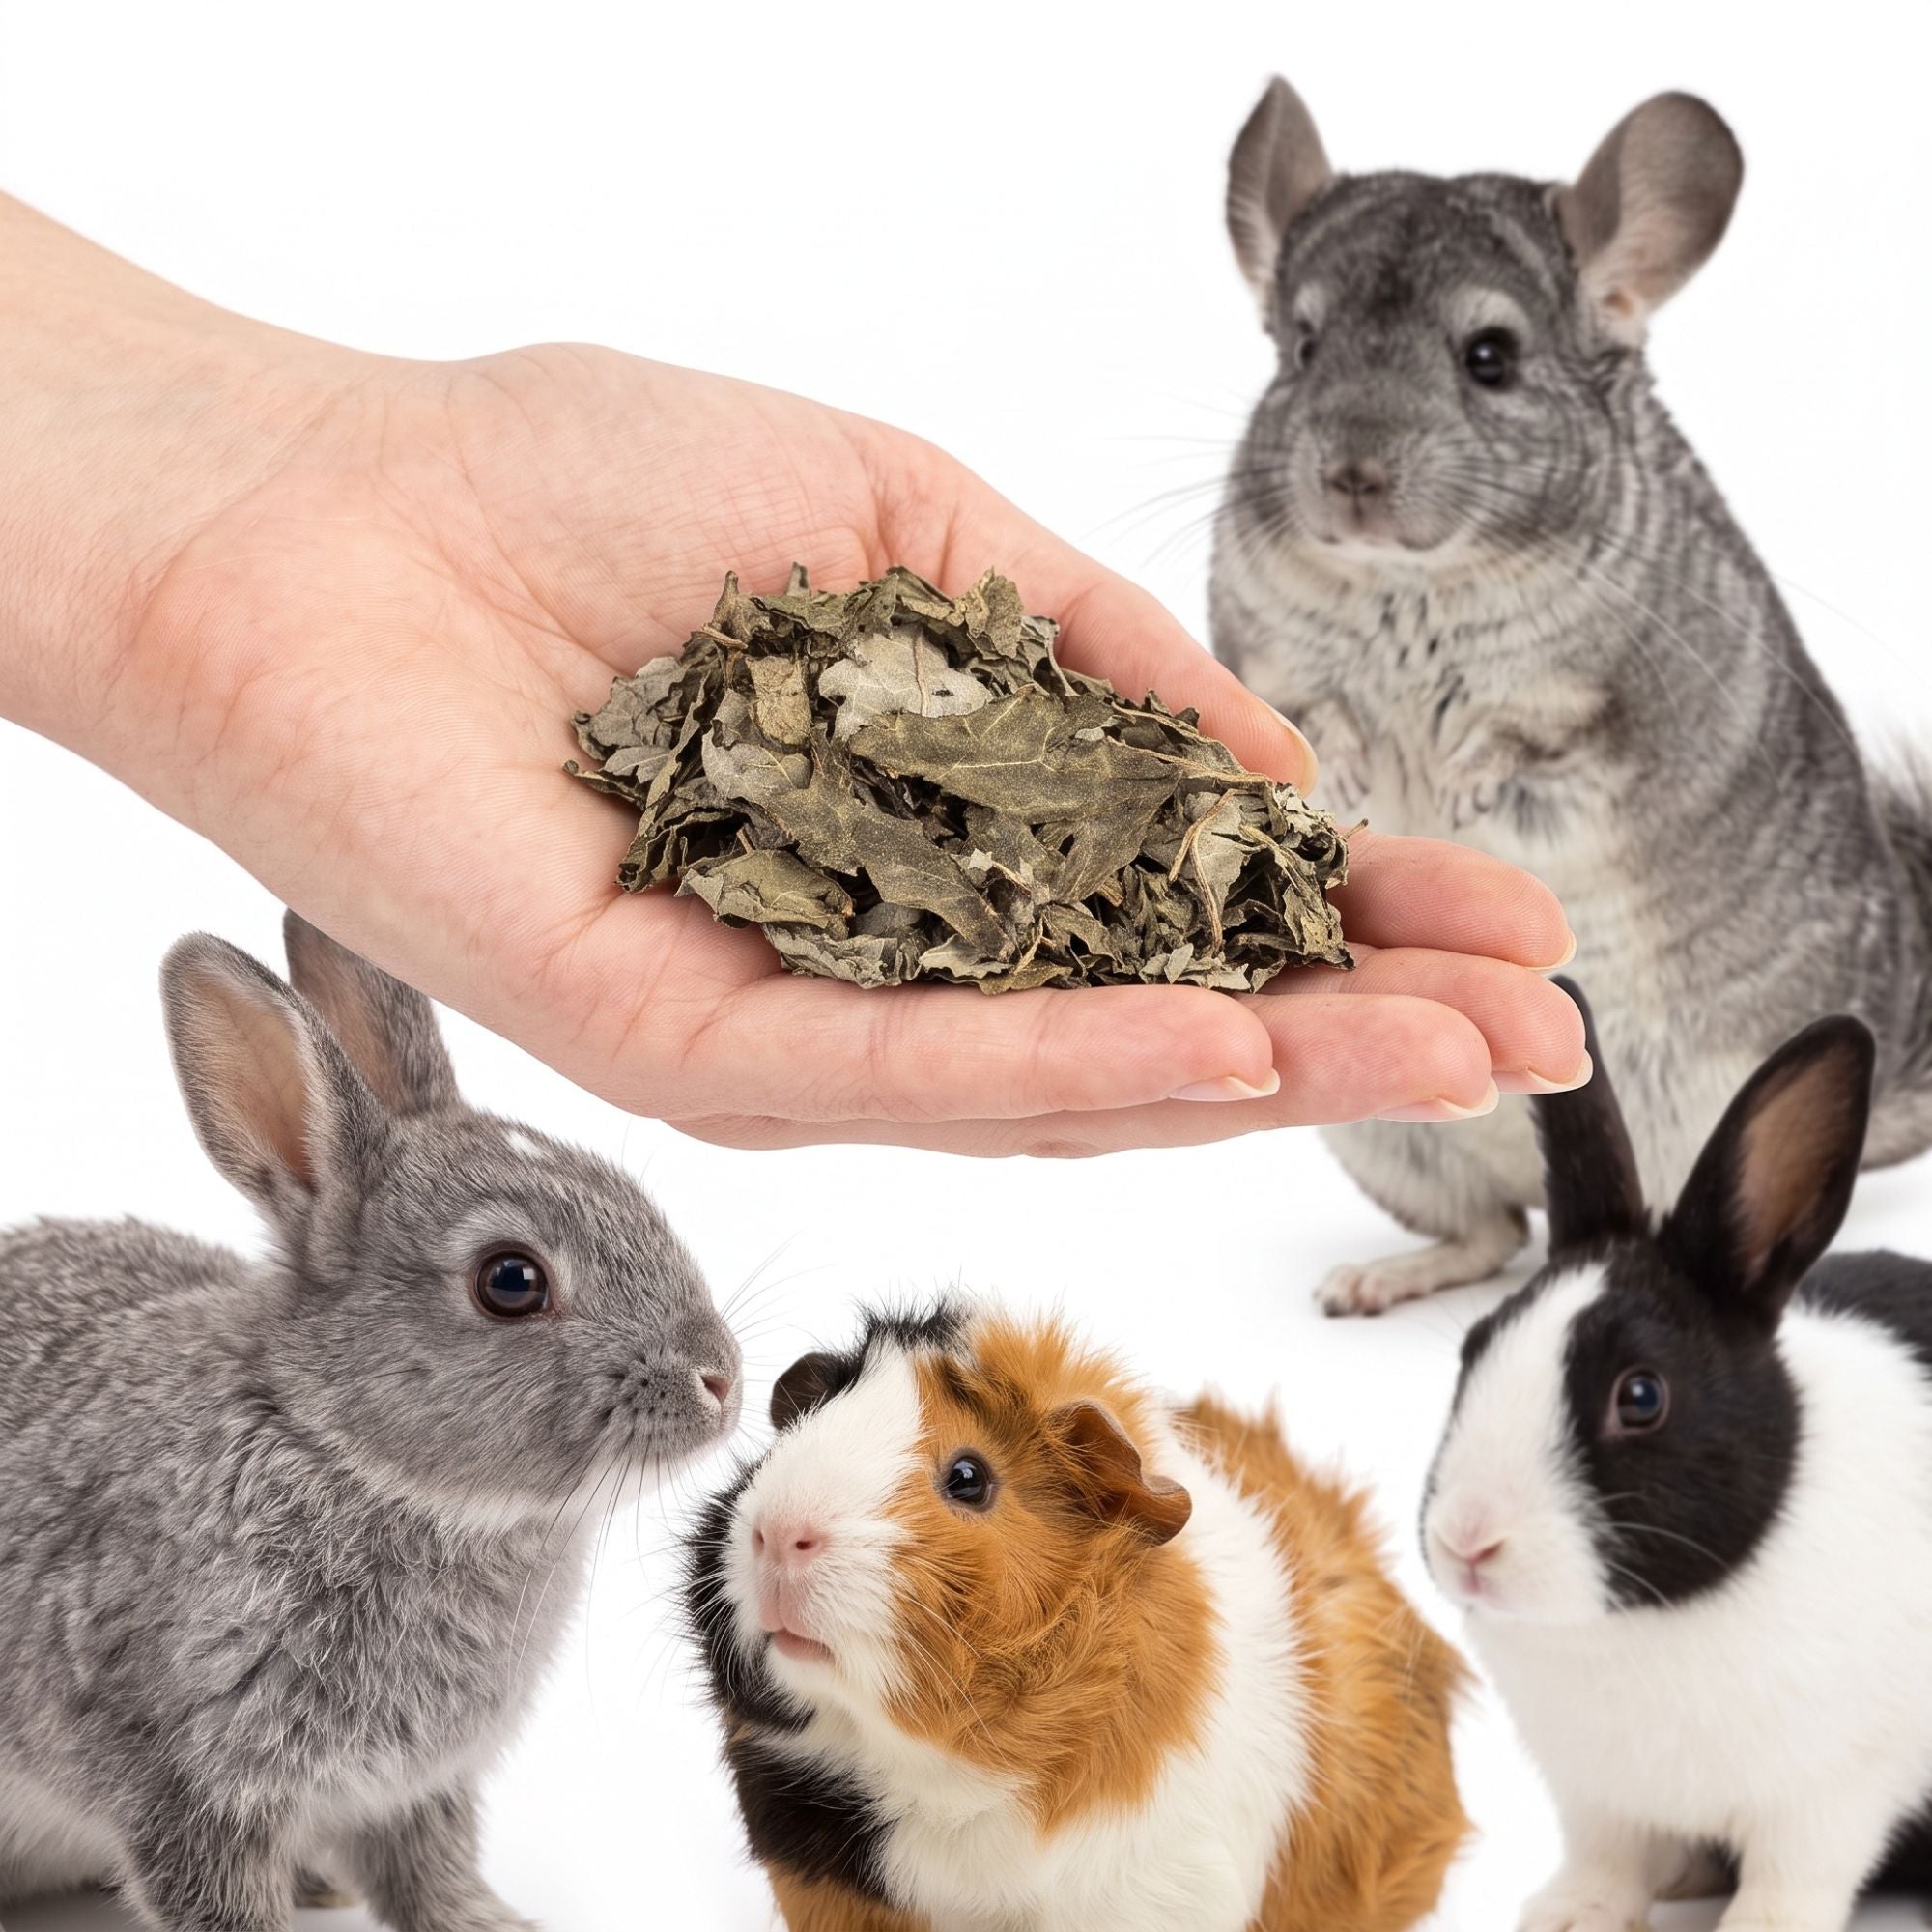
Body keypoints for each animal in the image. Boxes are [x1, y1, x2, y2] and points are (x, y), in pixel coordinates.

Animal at [0, 912, 742, 1931]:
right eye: (512, 1280)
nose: (722, 1380)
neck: (342, 1454)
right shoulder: (186, 1778)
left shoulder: (414, 1788)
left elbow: (432, 1873)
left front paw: (490, 1924)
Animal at [1210, 78, 1932, 1315]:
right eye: (1299, 348)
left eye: (1489, 356)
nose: (1351, 476)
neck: (1413, 586)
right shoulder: (1262, 654)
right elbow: (1309, 723)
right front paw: (1343, 773)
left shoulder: (1622, 706)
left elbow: (1534, 742)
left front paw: (1457, 785)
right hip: (1394, 1136)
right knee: (1490, 1229)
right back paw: (1377, 1281)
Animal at [1421, 978, 1932, 1932]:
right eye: (1476, 1348)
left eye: (1641, 1397)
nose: (1469, 1544)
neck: (1646, 1623)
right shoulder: (1597, 1795)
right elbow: (1608, 1856)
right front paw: (1570, 1915)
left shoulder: (1831, 1797)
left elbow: (1791, 1881)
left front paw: (1756, 1930)